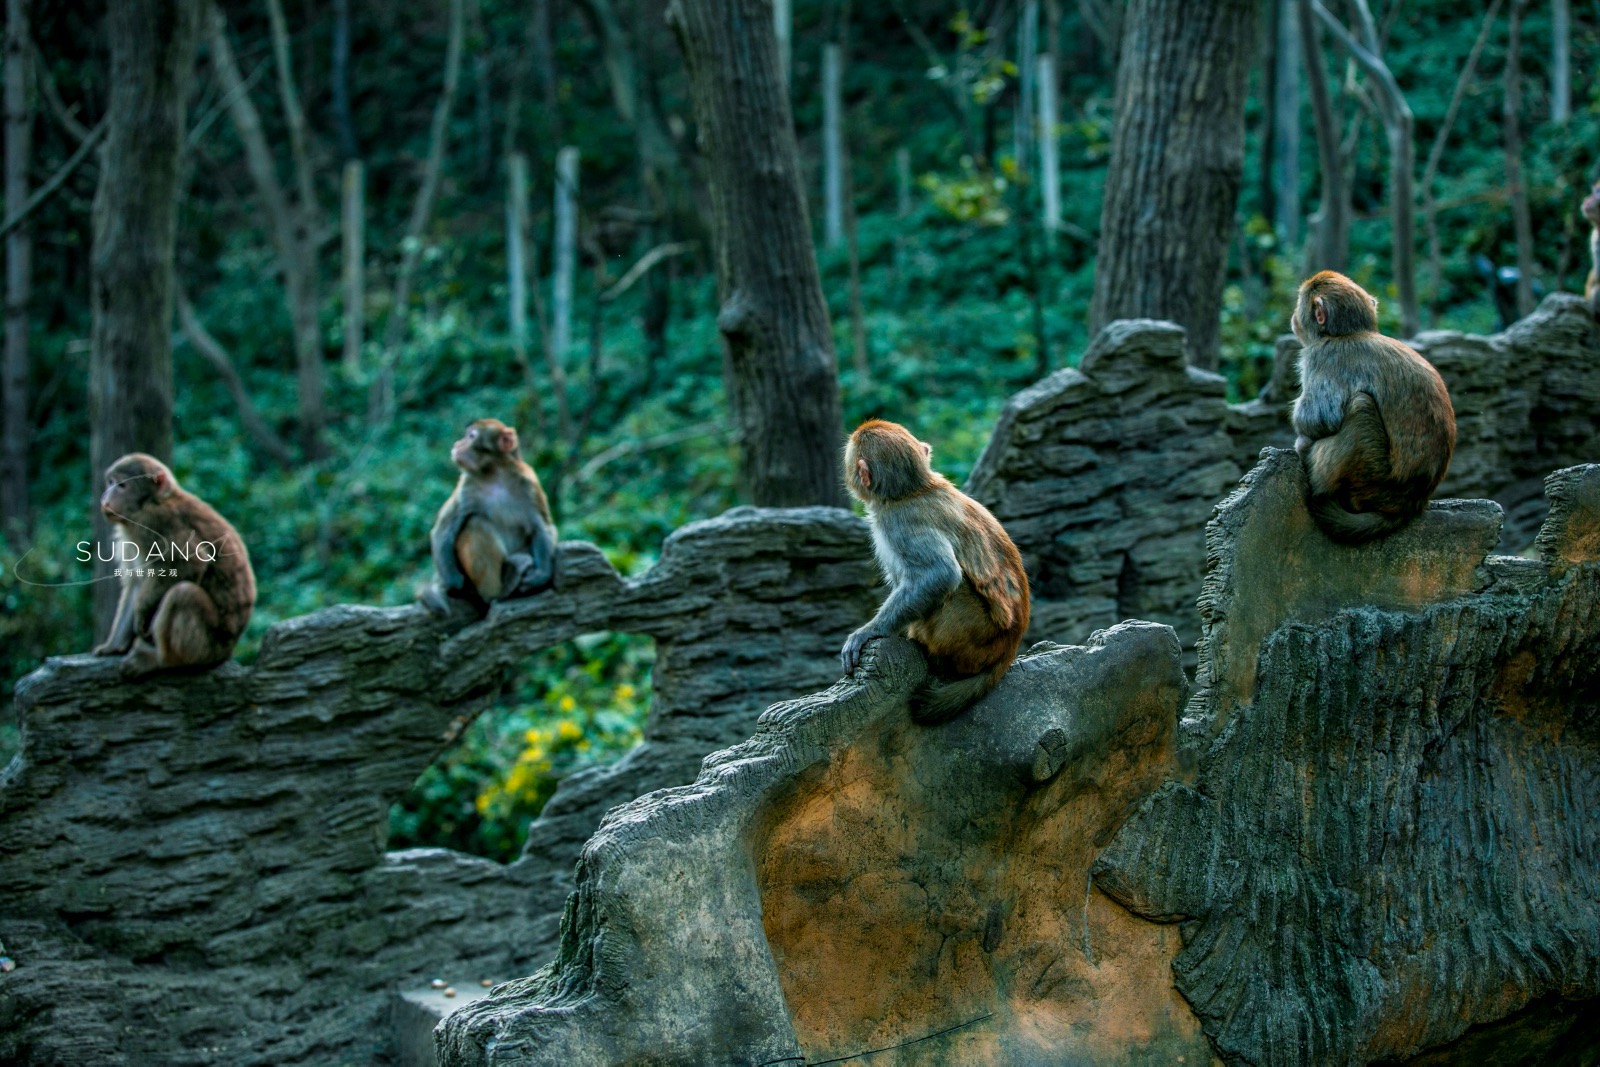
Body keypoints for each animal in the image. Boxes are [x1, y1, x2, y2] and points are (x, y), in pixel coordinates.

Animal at [94, 454, 256, 675]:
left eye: (122, 485)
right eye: (110, 482)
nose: (105, 499)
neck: (152, 501)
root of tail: (229, 650)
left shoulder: (155, 522)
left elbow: (190, 564)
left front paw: (142, 613)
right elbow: (136, 582)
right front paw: (114, 646)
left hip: (209, 646)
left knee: (183, 594)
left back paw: (162, 661)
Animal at [422, 419, 560, 617]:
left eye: (471, 436)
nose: (457, 444)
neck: (495, 474)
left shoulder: (530, 484)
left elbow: (542, 528)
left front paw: (541, 574)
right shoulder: (466, 488)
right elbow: (443, 530)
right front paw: (453, 581)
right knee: (476, 523)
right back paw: (497, 593)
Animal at [844, 415, 1030, 726]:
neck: (915, 489)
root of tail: (1008, 650)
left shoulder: (897, 522)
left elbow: (941, 574)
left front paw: (870, 631)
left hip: (972, 636)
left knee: (953, 589)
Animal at [1292, 271, 1459, 547]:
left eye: (1299, 305)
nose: (1294, 317)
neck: (1350, 333)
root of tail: (1408, 505)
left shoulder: (1324, 357)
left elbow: (1320, 419)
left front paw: (1303, 439)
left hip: (1371, 477)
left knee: (1360, 407)